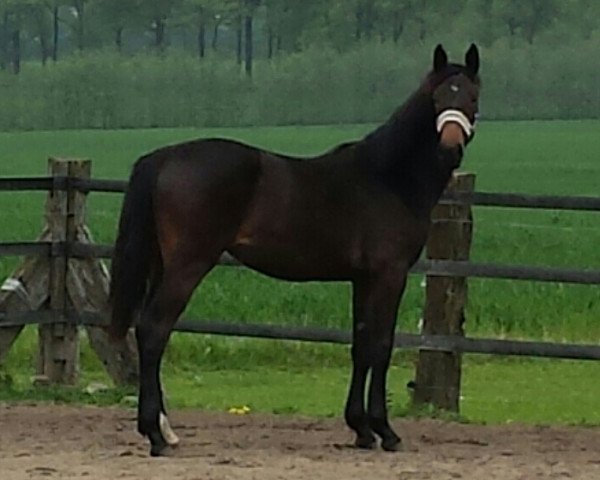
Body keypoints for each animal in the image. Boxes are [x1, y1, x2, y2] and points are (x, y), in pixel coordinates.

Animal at [109, 43, 482, 456]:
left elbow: (361, 345)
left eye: (472, 96)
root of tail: (165, 157)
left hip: (163, 264)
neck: (388, 178)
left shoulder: (363, 279)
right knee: (154, 329)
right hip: (188, 265)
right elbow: (381, 346)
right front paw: (386, 432)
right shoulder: (390, 274)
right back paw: (156, 436)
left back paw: (165, 430)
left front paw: (361, 429)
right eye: (437, 97)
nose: (450, 149)